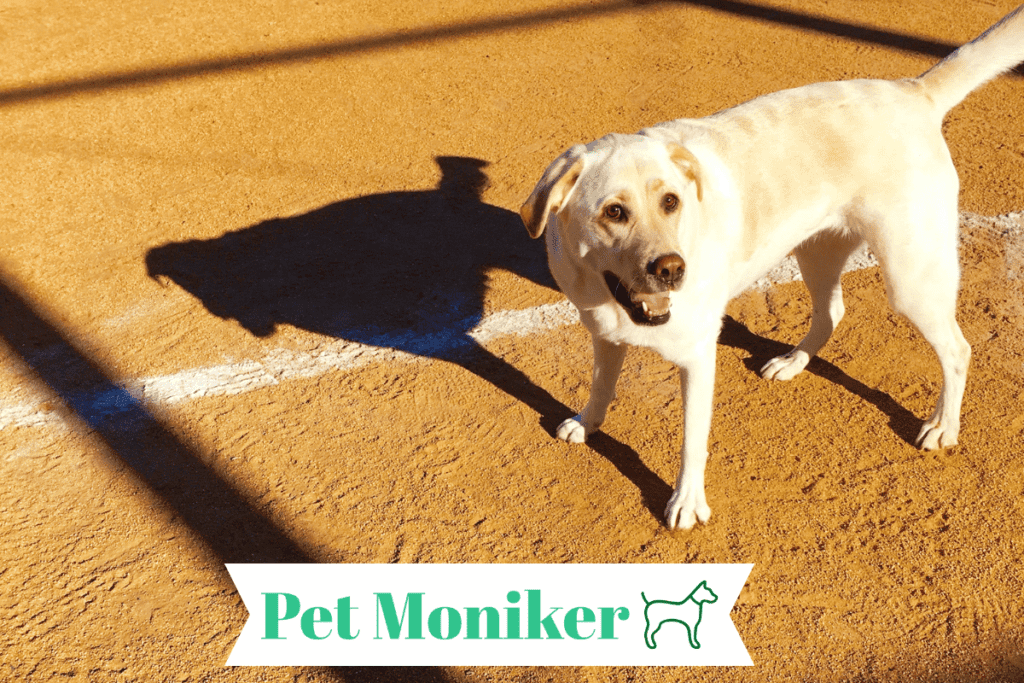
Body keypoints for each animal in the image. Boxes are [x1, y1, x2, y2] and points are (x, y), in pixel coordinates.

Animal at [520, 5, 1024, 532]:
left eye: (671, 201)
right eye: (614, 211)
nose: (674, 270)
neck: (612, 297)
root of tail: (914, 90)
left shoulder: (697, 355)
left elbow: (692, 442)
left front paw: (686, 502)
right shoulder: (604, 334)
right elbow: (601, 385)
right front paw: (587, 423)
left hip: (911, 278)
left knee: (958, 349)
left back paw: (944, 426)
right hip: (817, 253)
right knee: (832, 313)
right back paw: (793, 362)